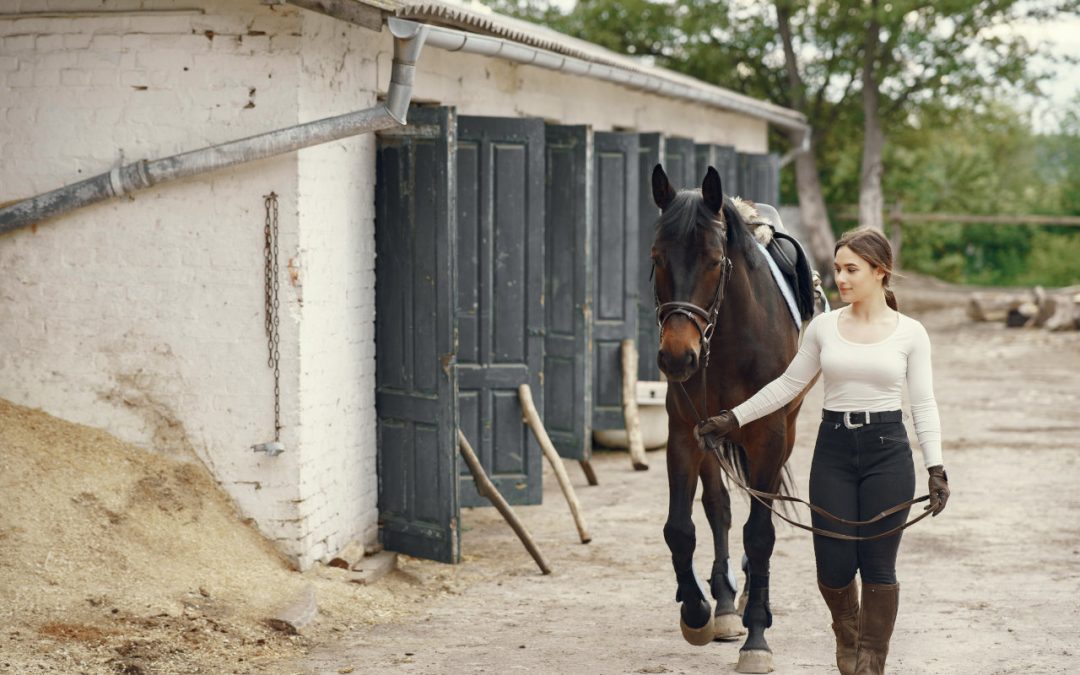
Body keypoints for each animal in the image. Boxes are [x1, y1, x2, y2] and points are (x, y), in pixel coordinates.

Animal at [648, 164, 816, 673]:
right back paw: (724, 605)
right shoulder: (685, 434)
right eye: (657, 258)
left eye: (713, 260)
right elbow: (681, 528)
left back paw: (748, 602)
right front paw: (697, 611)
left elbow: (760, 534)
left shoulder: (769, 436)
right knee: (718, 508)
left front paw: (757, 638)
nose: (677, 356)